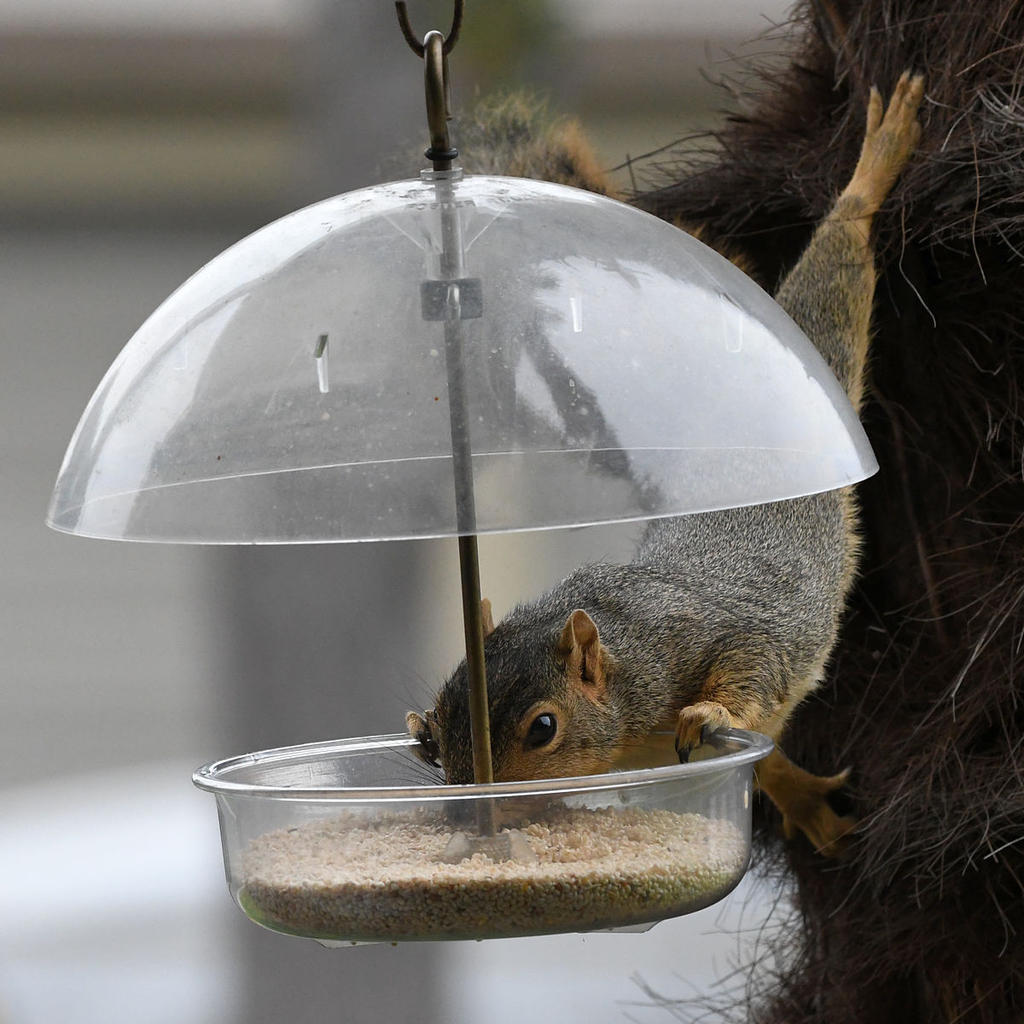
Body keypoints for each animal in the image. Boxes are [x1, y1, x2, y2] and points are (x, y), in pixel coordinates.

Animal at [407, 73, 925, 857]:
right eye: (437, 739)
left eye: (544, 728)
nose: (474, 817)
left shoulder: (703, 634)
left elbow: (752, 667)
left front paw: (709, 715)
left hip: (819, 366)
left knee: (833, 283)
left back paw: (872, 171)